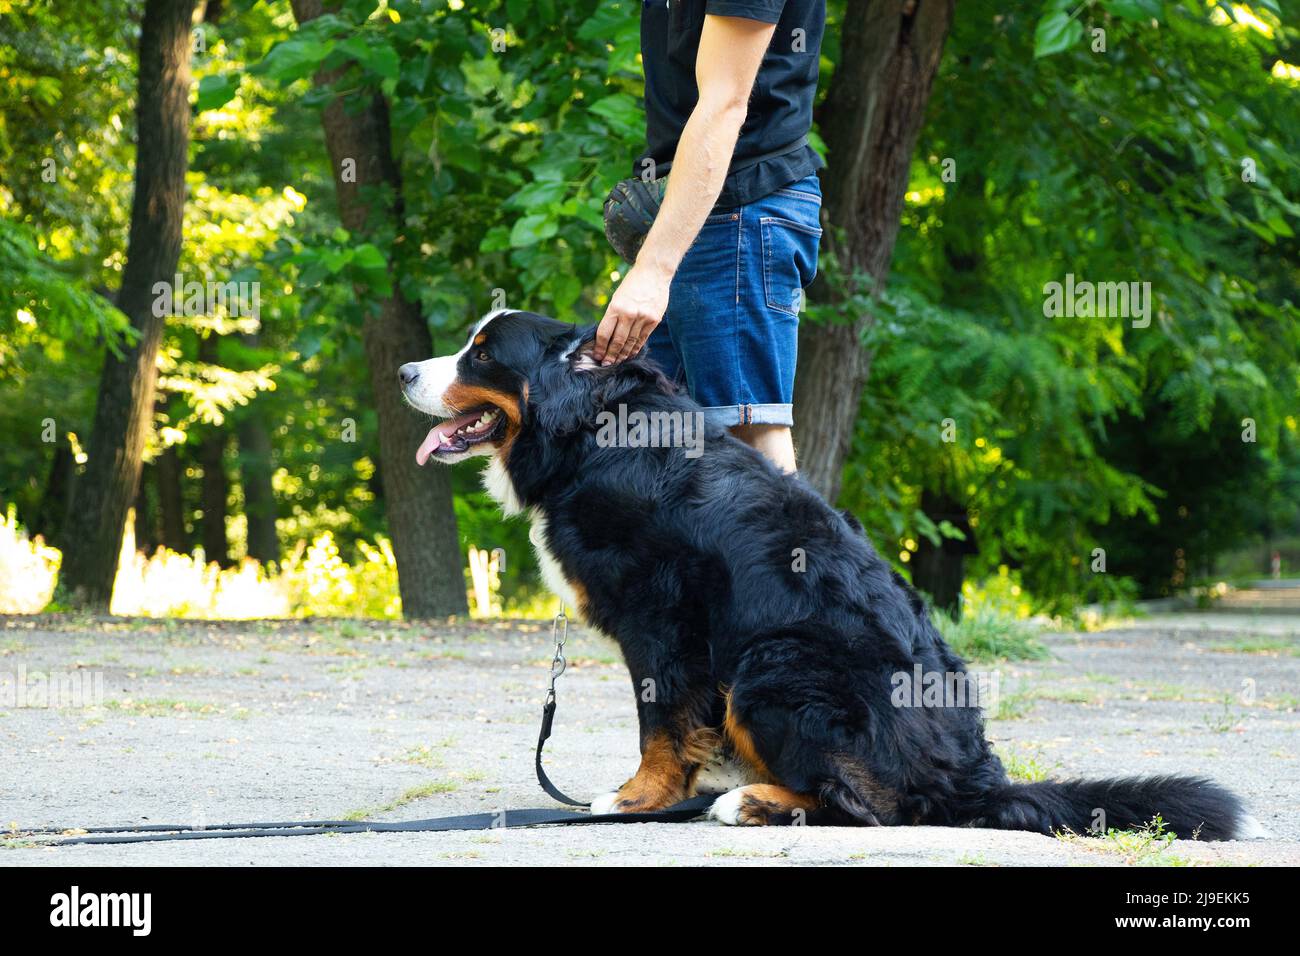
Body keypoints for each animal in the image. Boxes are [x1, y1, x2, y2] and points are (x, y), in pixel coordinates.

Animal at [400, 308, 1263, 837]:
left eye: (483, 353)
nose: (408, 371)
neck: (594, 430)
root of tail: (973, 778)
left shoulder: (660, 619)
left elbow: (661, 725)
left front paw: (638, 799)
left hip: (773, 661)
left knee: (874, 804)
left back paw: (750, 801)